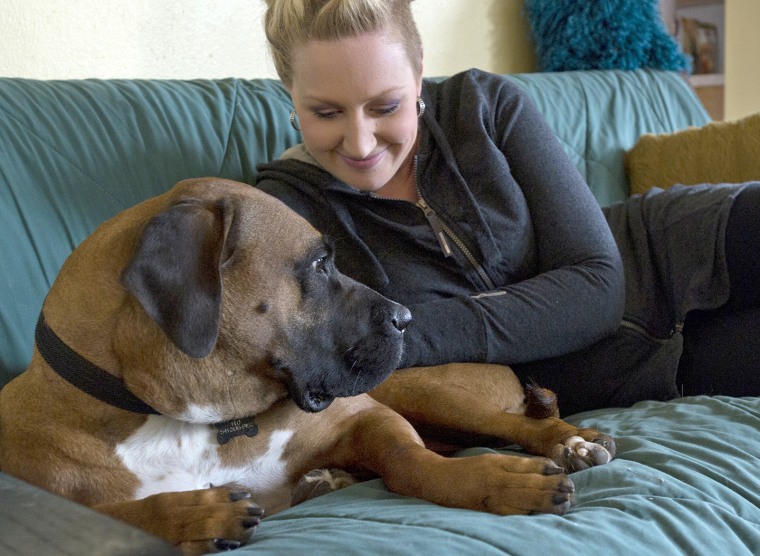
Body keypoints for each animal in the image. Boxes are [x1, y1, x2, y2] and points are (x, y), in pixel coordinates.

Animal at [0, 180, 612, 552]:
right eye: (320, 264)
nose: (406, 318)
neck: (191, 421)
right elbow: (117, 518)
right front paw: (196, 514)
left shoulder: (367, 417)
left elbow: (411, 462)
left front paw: (494, 479)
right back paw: (323, 481)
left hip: (426, 395)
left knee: (516, 423)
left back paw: (573, 441)